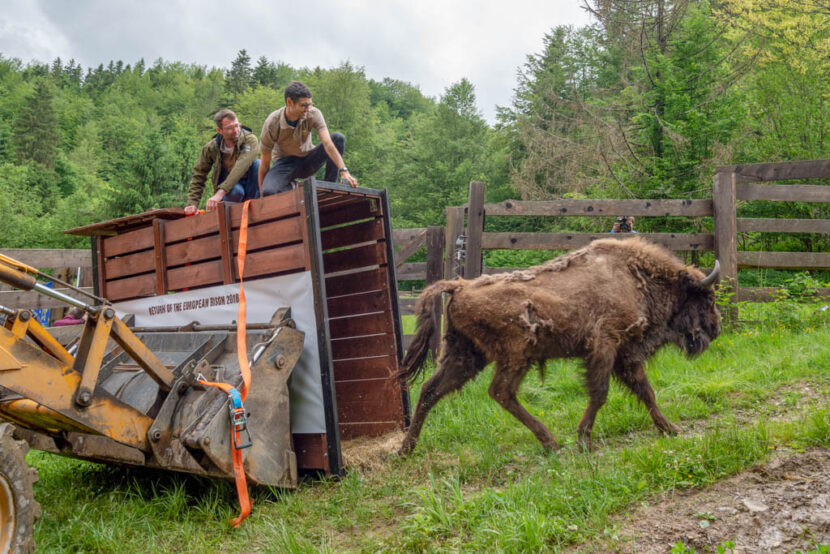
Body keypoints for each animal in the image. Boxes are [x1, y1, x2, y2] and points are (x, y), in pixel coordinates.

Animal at [398, 236, 720, 452]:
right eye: (706, 298)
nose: (715, 329)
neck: (632, 276)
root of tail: (459, 285)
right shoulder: (604, 346)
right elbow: (600, 393)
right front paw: (583, 440)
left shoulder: (625, 354)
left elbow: (646, 391)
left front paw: (670, 429)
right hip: (515, 355)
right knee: (500, 391)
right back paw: (551, 442)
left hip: (467, 355)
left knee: (431, 390)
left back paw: (406, 449)